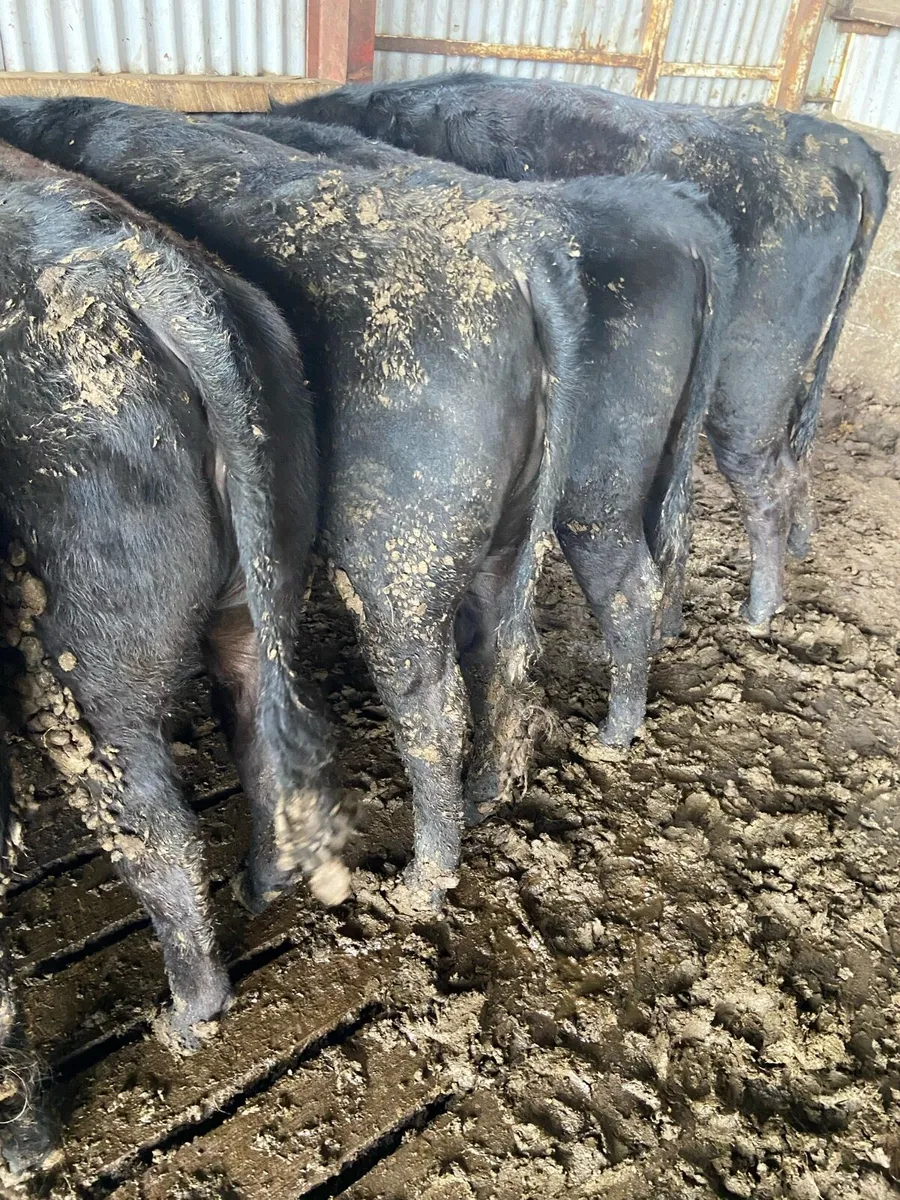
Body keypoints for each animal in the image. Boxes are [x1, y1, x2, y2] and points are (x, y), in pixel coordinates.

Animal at [0, 141, 348, 1177]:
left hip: (78, 642)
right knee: (260, 731)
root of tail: (158, 276)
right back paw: (261, 886)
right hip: (260, 574)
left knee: (152, 822)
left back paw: (176, 1027)